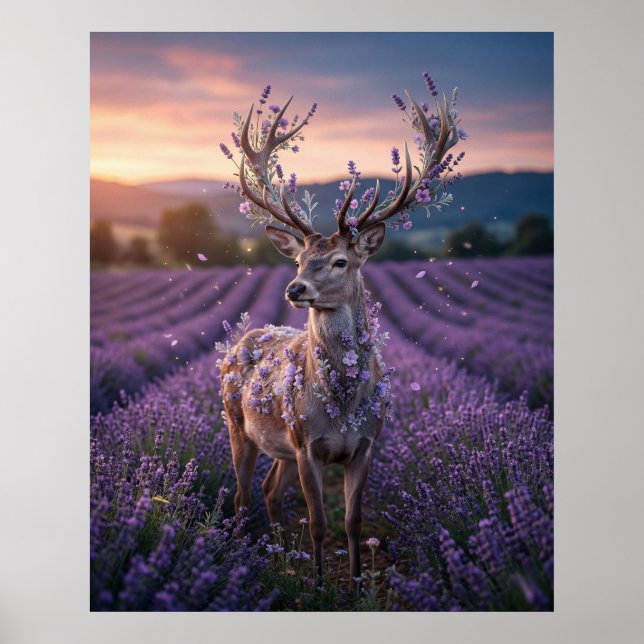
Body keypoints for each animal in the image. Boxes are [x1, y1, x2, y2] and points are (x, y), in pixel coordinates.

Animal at [219, 77, 462, 588]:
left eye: (339, 261)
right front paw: (316, 583)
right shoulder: (305, 443)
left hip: (279, 448)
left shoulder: (367, 443)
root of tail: (240, 343)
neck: (343, 406)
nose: (294, 288)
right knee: (242, 497)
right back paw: (251, 556)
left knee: (269, 491)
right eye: (297, 260)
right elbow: (318, 521)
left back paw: (277, 555)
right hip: (238, 424)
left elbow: (352, 520)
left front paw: (353, 582)